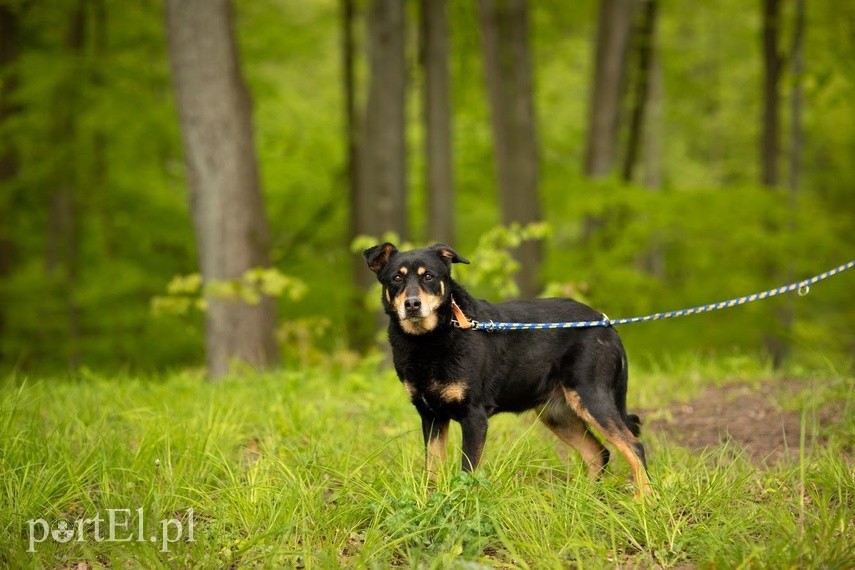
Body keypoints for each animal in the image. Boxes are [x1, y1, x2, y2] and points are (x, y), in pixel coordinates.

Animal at [364, 240, 652, 492]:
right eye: (396, 279)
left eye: (429, 277)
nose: (413, 304)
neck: (429, 339)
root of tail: (607, 325)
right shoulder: (431, 415)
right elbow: (432, 470)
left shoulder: (474, 416)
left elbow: (467, 471)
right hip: (557, 413)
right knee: (598, 453)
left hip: (590, 397)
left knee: (633, 446)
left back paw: (644, 500)